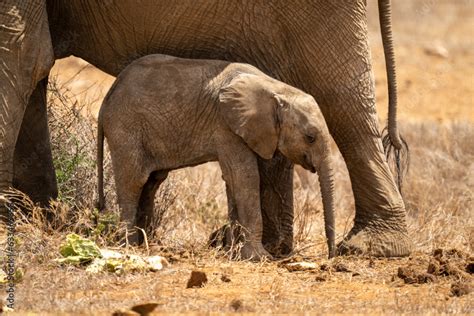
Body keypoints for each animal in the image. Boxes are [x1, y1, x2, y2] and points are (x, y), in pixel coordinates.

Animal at [96, 53, 336, 260]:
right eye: (310, 137)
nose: (332, 256)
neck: (276, 89)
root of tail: (107, 98)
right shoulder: (226, 126)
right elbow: (244, 177)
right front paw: (258, 257)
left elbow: (232, 180)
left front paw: (232, 252)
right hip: (125, 128)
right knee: (133, 182)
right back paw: (129, 246)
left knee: (151, 183)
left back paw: (145, 243)